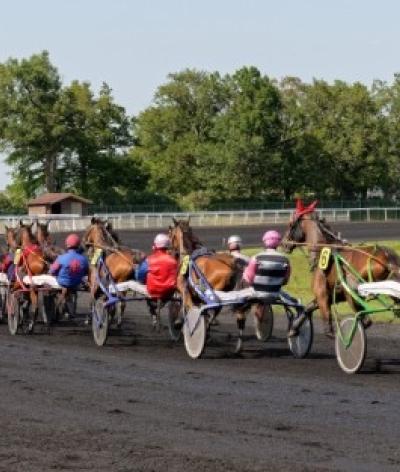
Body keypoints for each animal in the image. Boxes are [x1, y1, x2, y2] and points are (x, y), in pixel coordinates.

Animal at [170, 218, 252, 350]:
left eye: (171, 235)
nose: (172, 251)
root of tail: (233, 265)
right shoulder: (196, 295)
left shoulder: (184, 290)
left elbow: (186, 305)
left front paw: (179, 323)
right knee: (237, 315)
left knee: (216, 307)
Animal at [282, 201, 400, 338]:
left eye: (290, 224)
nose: (284, 243)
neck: (323, 250)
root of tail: (387, 257)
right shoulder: (336, 295)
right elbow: (308, 307)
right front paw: (293, 328)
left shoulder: (322, 293)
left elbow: (329, 326)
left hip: (353, 291)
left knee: (364, 318)